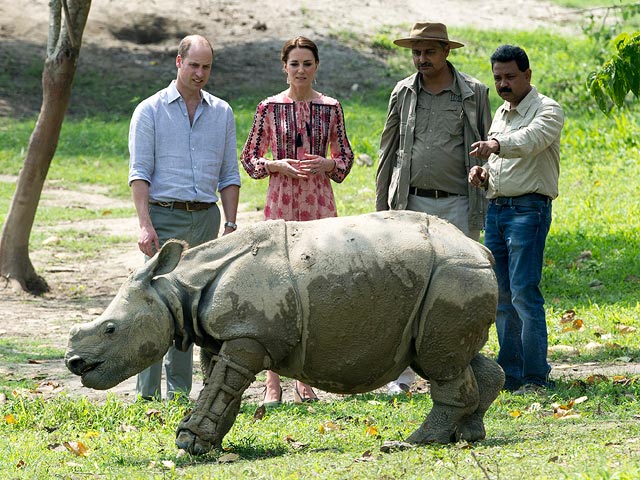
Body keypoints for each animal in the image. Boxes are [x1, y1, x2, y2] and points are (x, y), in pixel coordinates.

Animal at [66, 210, 504, 454]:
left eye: (110, 329)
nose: (73, 363)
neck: (177, 287)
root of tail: (480, 249)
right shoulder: (229, 337)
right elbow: (220, 388)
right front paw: (211, 443)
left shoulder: (249, 337)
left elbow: (221, 386)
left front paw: (189, 443)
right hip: (451, 279)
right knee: (454, 357)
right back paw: (469, 435)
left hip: (453, 274)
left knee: (440, 362)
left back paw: (411, 443)